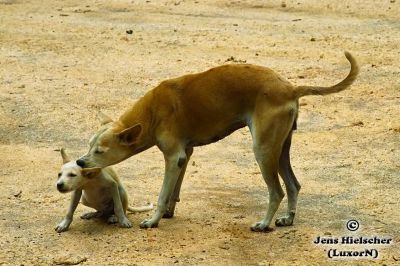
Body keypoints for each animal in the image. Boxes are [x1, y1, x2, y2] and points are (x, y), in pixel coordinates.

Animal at [76, 52, 358, 231]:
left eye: (99, 151)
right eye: (89, 146)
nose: (80, 162)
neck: (152, 111)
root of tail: (290, 88)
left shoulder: (173, 157)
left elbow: (163, 193)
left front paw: (153, 220)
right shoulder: (185, 154)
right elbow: (174, 191)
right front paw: (168, 213)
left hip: (263, 150)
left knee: (276, 191)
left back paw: (264, 224)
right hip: (280, 150)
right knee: (294, 185)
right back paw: (287, 219)